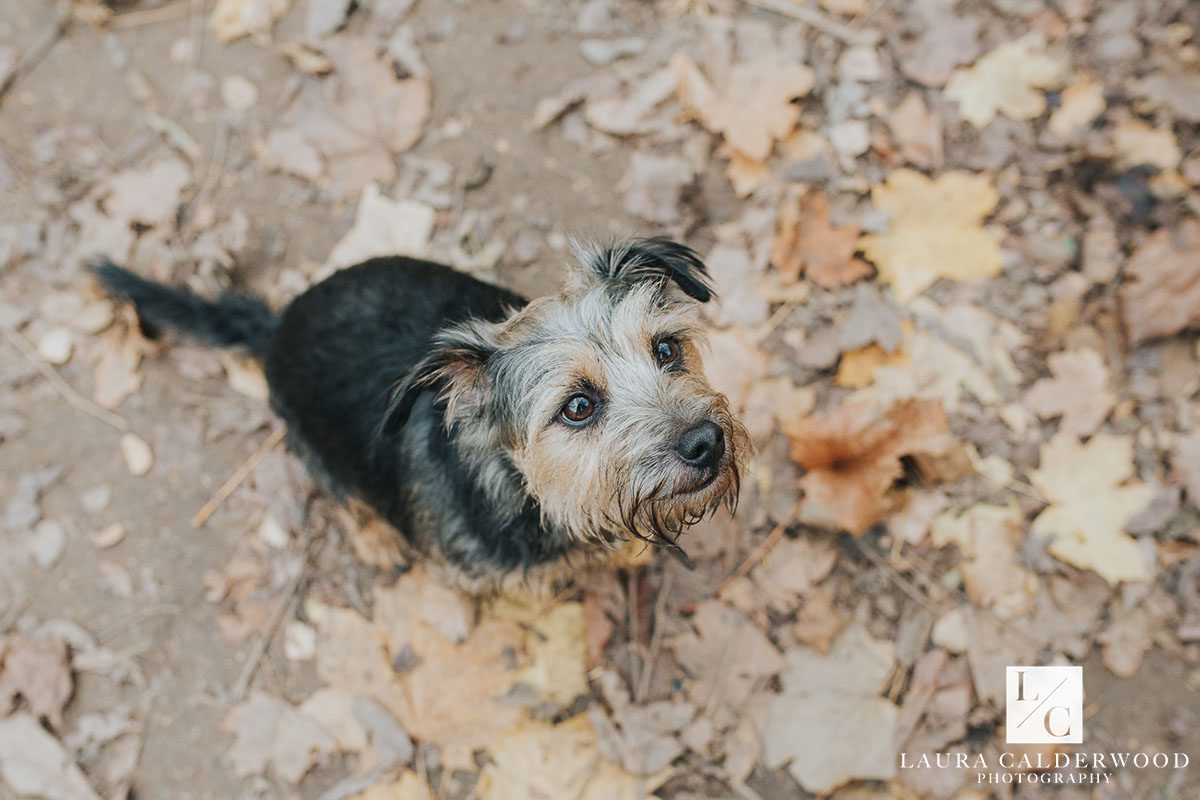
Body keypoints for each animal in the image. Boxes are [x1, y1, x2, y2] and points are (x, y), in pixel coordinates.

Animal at [96, 241, 748, 592]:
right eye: (578, 407)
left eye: (666, 349)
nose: (706, 442)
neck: (530, 496)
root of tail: (276, 324)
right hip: (308, 442)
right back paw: (376, 539)